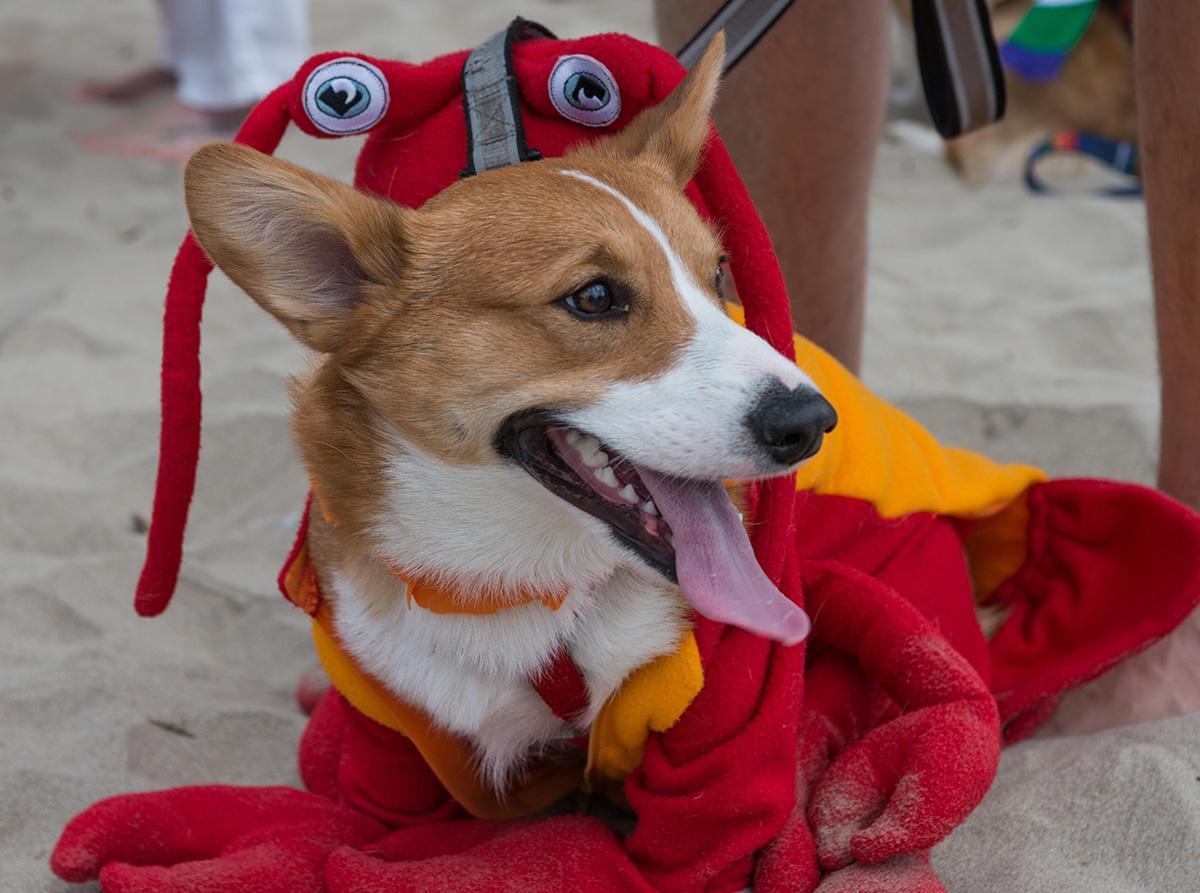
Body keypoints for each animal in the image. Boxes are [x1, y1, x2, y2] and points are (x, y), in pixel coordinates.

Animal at [182, 38, 835, 796]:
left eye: (719, 274)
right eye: (594, 297)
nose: (811, 422)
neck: (512, 583)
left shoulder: (726, 722)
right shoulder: (388, 740)